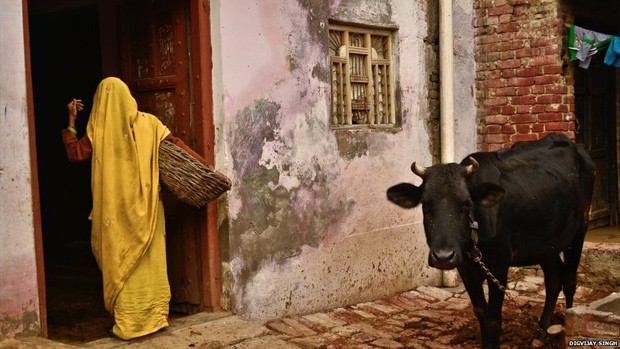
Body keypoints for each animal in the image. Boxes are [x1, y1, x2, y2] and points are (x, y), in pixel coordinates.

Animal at [388, 134, 596, 348]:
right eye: (426, 205)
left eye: (466, 203)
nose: (443, 257)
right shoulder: (465, 268)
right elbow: (482, 313)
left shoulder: (499, 265)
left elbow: (495, 319)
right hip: (546, 243)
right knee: (554, 280)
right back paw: (539, 335)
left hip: (580, 228)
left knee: (569, 281)